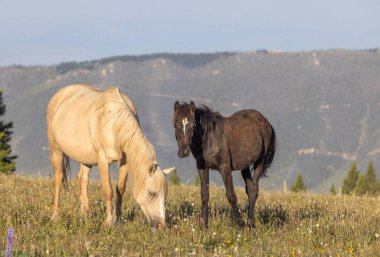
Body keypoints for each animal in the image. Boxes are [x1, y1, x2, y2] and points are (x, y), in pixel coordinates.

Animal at [46, 84, 175, 226]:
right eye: (152, 193)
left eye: (165, 194)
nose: (162, 225)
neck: (114, 123)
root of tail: (60, 94)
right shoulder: (103, 161)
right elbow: (108, 191)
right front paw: (108, 221)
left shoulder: (125, 162)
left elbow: (120, 189)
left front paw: (117, 220)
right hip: (56, 150)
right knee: (58, 180)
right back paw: (55, 216)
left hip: (86, 158)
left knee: (83, 180)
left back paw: (86, 213)